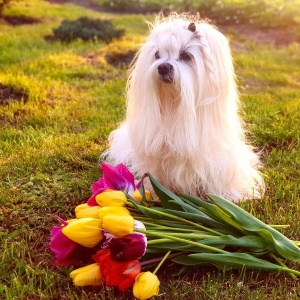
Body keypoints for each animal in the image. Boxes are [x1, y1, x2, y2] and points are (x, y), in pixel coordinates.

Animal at [103, 13, 264, 202]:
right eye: (157, 55)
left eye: (186, 55)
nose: (163, 67)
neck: (175, 105)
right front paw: (154, 191)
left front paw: (229, 195)